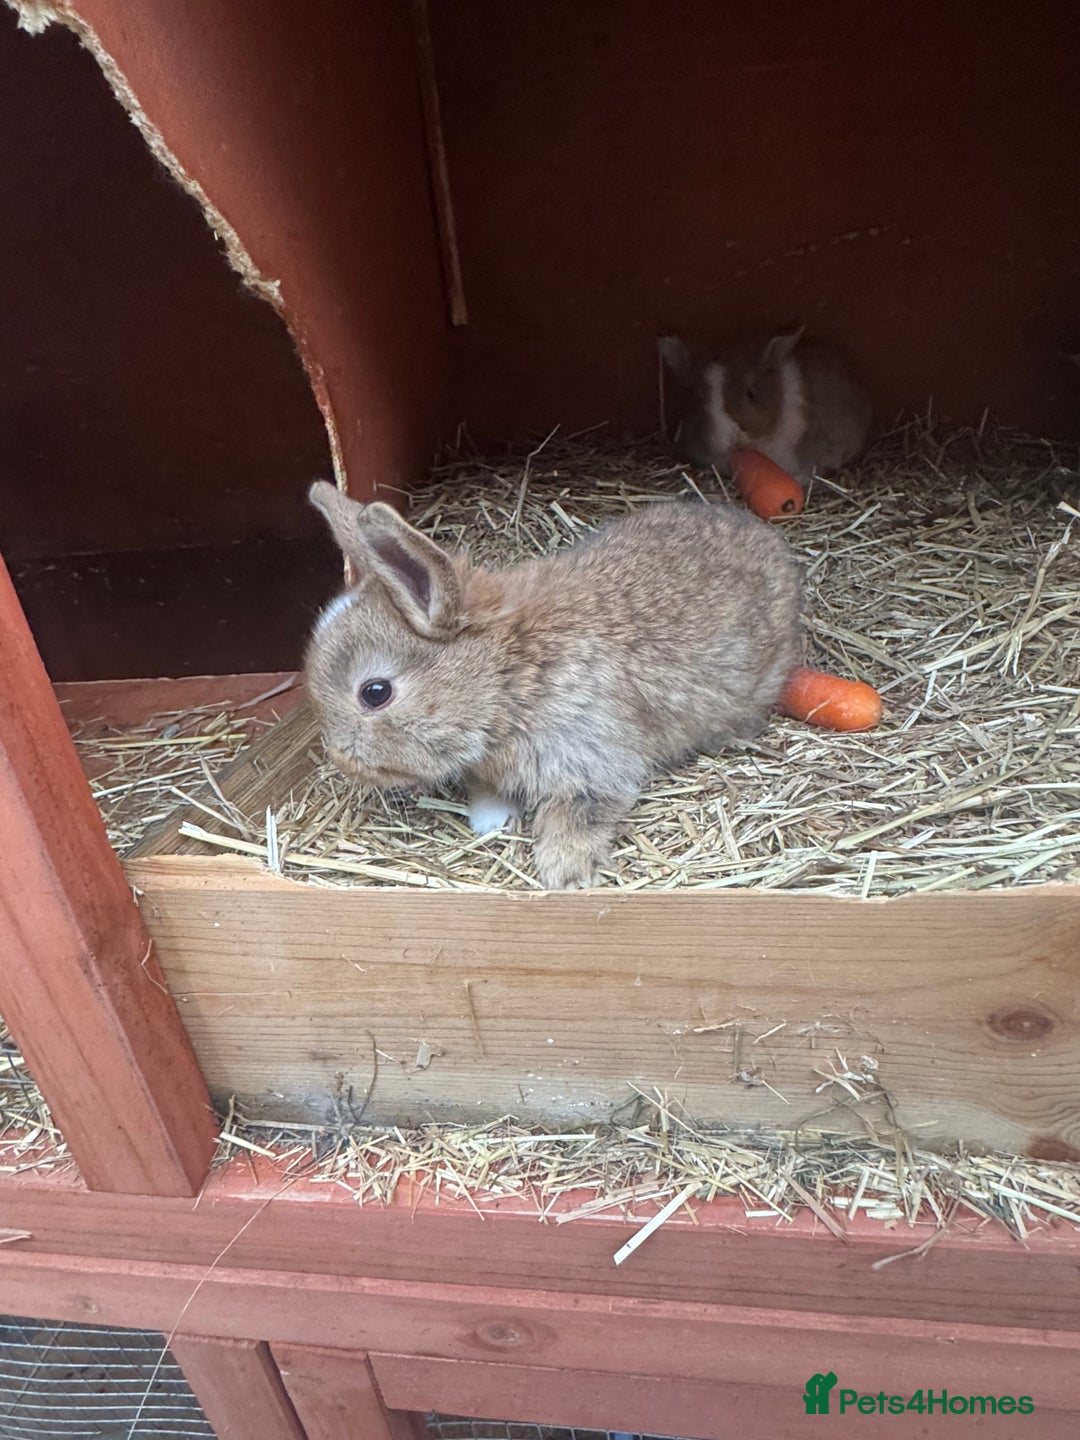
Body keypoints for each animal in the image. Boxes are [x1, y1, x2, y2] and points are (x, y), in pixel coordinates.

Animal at [305, 481, 803, 890]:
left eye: (375, 693)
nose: (341, 760)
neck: (507, 673)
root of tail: (770, 542)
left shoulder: (592, 759)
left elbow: (580, 814)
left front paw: (563, 873)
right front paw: (491, 822)